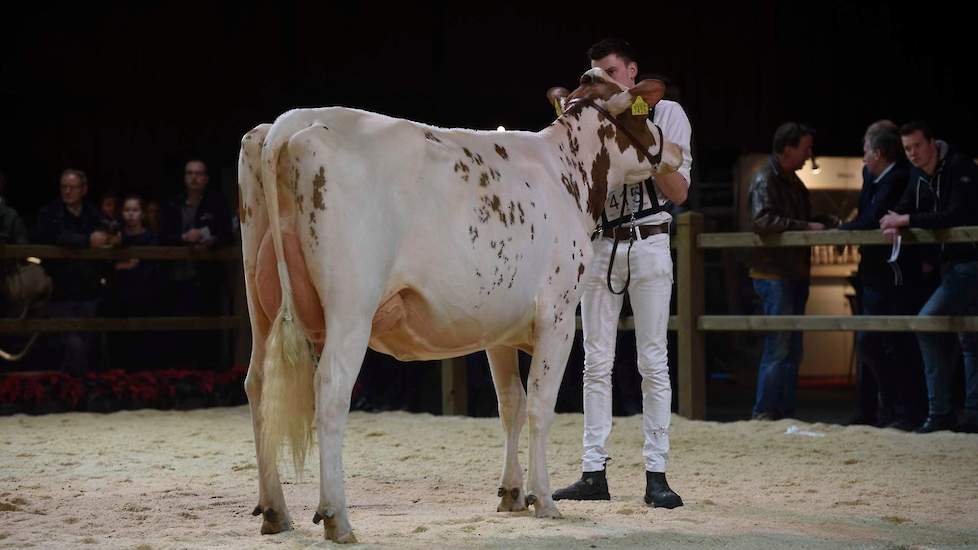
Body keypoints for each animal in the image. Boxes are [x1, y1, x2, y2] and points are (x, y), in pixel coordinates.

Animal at [236, 68, 680, 544]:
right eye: (646, 113)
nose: (676, 150)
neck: (566, 171)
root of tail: (289, 123)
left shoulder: (499, 329)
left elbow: (511, 405)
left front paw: (512, 492)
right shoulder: (558, 316)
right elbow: (541, 407)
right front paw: (543, 498)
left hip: (259, 302)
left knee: (257, 384)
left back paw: (276, 511)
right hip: (350, 308)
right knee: (331, 390)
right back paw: (337, 517)